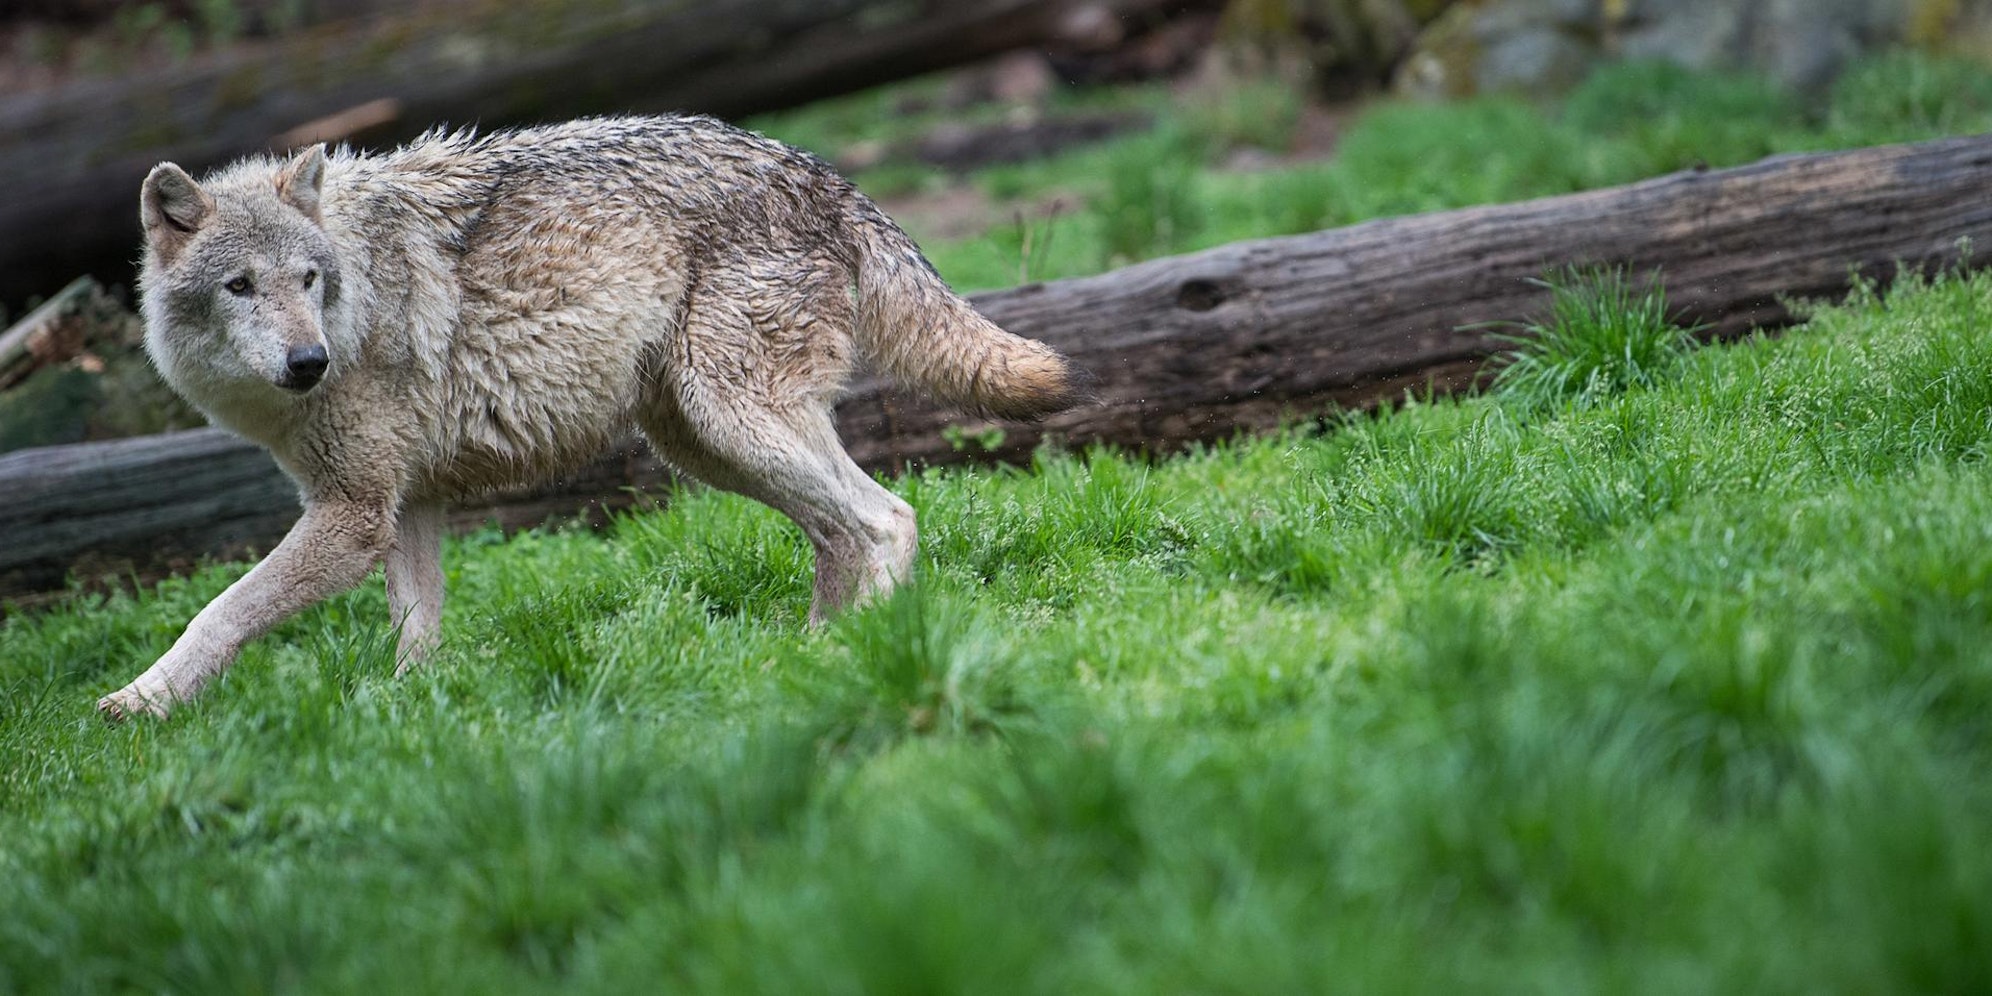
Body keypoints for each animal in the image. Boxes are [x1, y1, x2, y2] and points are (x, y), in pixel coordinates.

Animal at [101, 115, 1085, 720]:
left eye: (309, 279)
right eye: (241, 286)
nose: (310, 363)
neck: (356, 290)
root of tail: (821, 172)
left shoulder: (352, 517)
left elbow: (219, 611)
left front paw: (138, 704)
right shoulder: (406, 506)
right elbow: (415, 635)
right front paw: (411, 722)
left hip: (730, 425)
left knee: (888, 518)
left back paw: (860, 660)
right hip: (707, 446)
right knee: (841, 535)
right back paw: (808, 658)